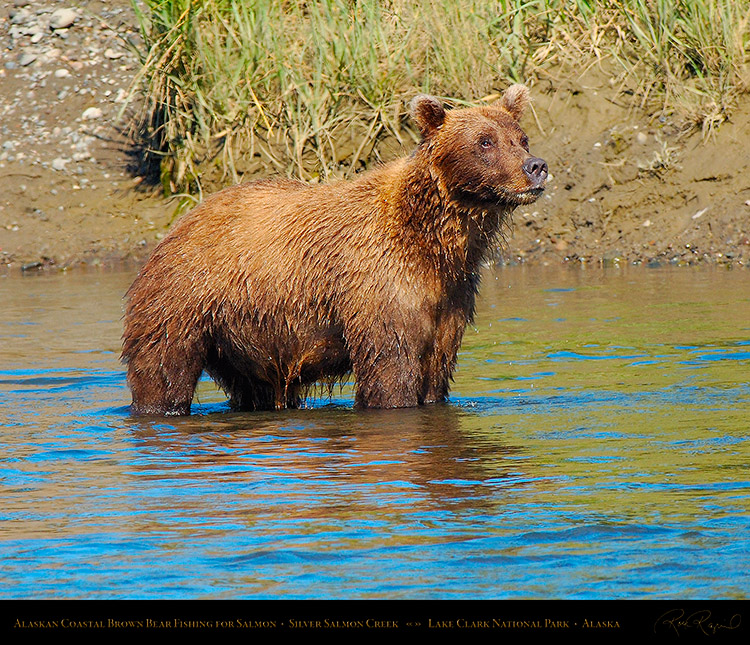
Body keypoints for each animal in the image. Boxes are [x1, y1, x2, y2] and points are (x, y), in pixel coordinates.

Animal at [122, 83, 548, 416]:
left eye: (521, 138)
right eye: (485, 141)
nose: (536, 166)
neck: (434, 238)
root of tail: (179, 223)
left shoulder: (449, 296)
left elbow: (436, 371)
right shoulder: (380, 284)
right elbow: (391, 369)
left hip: (246, 334)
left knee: (255, 386)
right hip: (185, 299)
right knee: (163, 370)